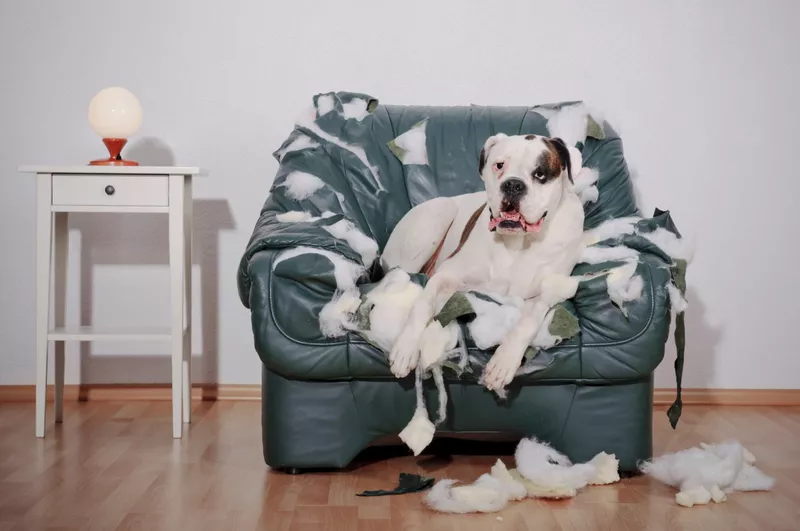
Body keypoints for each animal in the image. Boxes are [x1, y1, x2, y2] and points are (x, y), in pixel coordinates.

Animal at [384, 133, 584, 390]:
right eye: (499, 165)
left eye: (540, 173)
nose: (513, 184)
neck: (517, 243)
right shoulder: (446, 274)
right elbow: (422, 304)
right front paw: (405, 348)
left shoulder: (549, 292)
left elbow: (528, 322)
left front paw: (504, 362)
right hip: (439, 212)